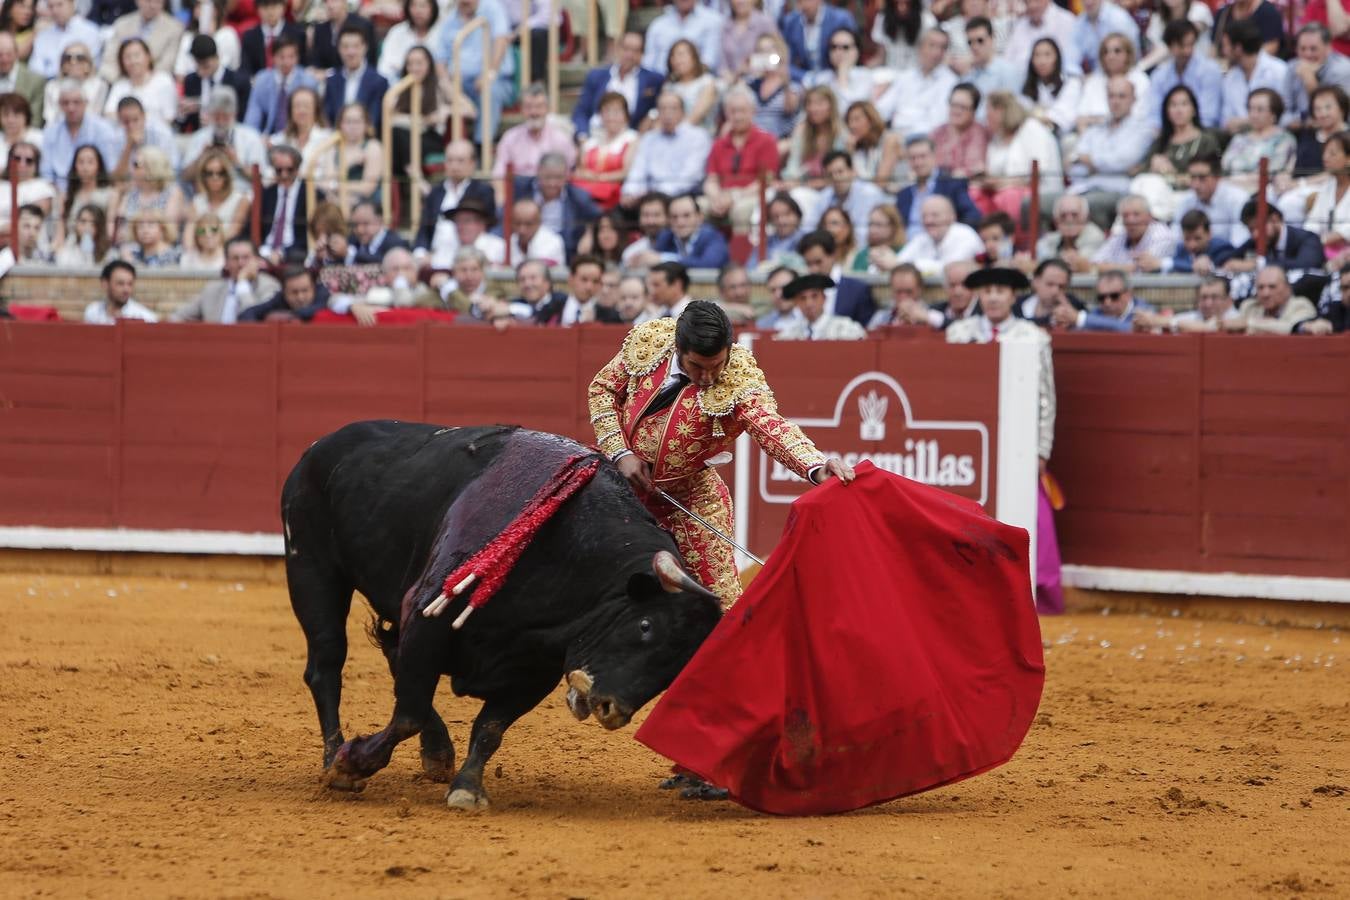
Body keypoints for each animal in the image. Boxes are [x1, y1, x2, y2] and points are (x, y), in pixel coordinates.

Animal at [282, 420, 729, 809]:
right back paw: (332, 758)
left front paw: (466, 789)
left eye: (676, 669)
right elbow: (408, 712)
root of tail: (318, 447)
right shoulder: (430, 614)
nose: (610, 709)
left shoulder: (536, 667)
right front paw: (350, 766)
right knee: (327, 666)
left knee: (390, 652)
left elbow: (490, 728)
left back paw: (437, 755)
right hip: (312, 570)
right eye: (646, 624)